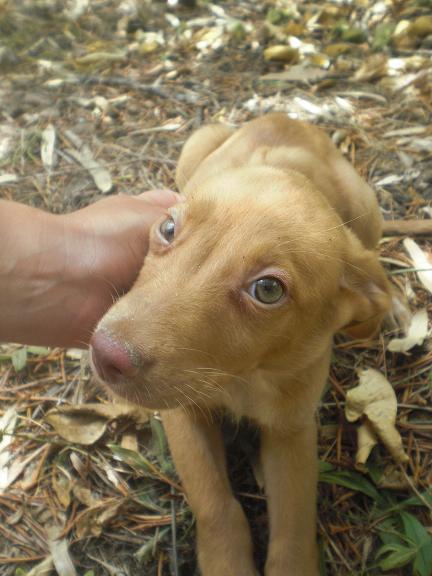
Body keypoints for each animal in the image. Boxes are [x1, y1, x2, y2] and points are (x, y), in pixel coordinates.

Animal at [90, 113, 392, 576]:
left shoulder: (293, 429)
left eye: (267, 290)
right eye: (168, 228)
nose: (105, 355)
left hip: (368, 209)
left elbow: (294, 524)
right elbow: (216, 503)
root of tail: (289, 117)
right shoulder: (184, 414)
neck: (244, 376)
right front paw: (225, 562)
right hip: (198, 143)